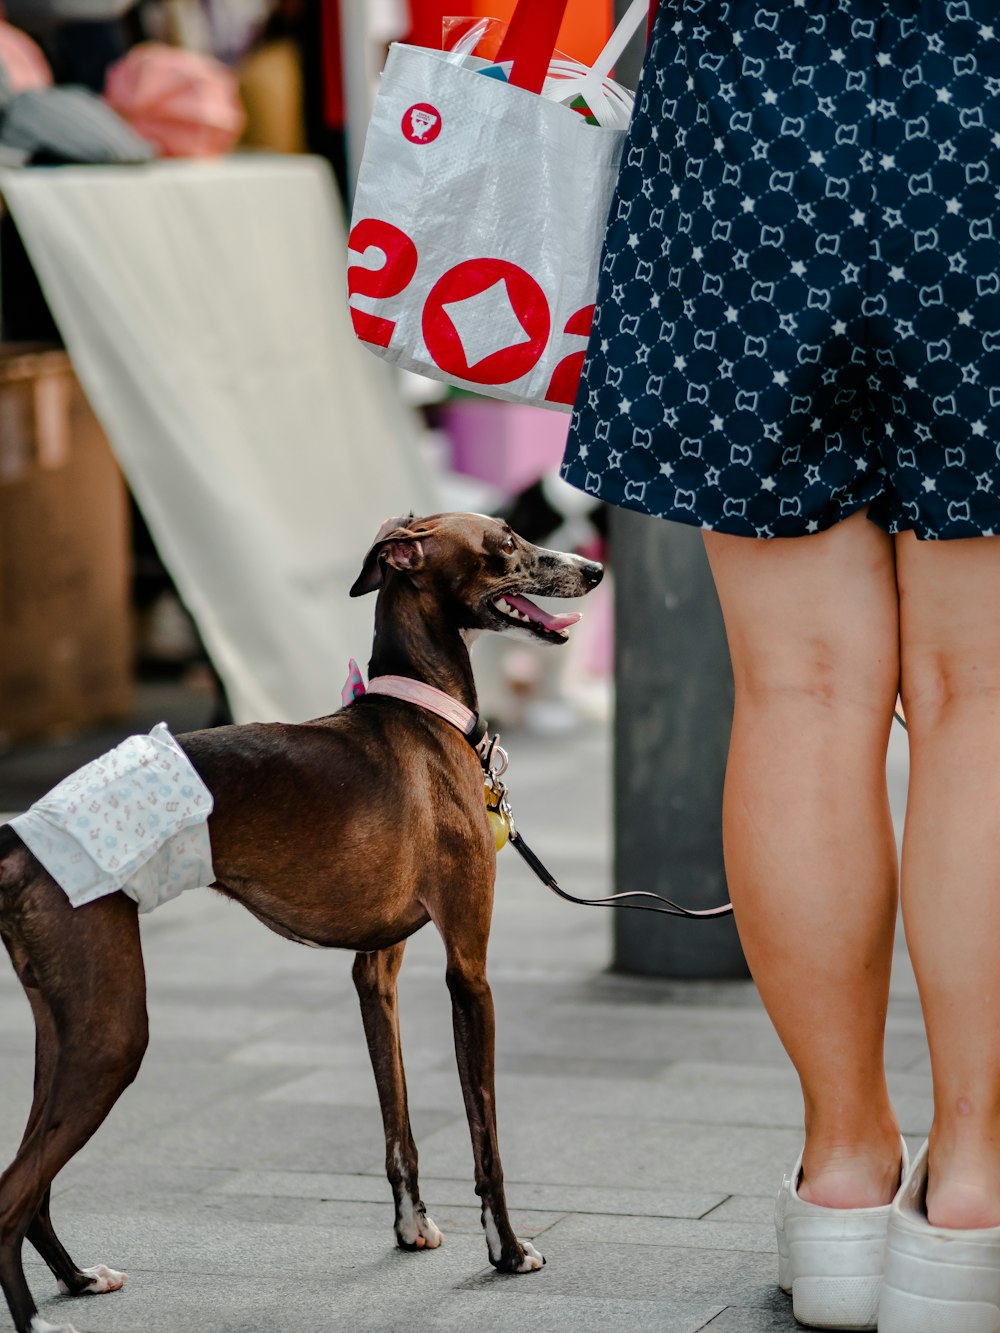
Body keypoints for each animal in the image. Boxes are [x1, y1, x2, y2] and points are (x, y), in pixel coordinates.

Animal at [0, 511, 602, 1333]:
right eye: (505, 542)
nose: (595, 570)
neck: (422, 709)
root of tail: (16, 836)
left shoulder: (375, 970)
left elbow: (398, 1118)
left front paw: (412, 1227)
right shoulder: (469, 971)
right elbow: (486, 1136)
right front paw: (507, 1250)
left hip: (63, 1028)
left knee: (30, 1183)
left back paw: (79, 1278)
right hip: (111, 1035)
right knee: (11, 1196)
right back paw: (37, 1317)